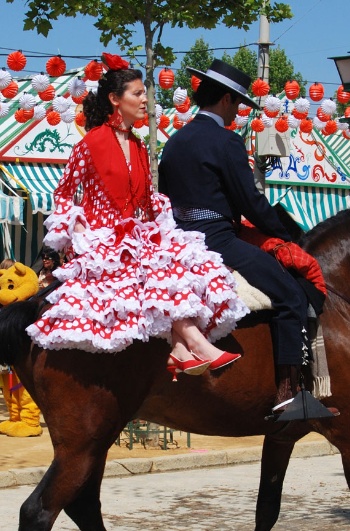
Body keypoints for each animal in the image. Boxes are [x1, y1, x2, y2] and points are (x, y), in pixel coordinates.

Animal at [1, 210, 348, 528]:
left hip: (98, 438)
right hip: (83, 442)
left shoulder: (281, 437)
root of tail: (38, 303)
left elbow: (267, 509)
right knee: (39, 509)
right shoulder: (344, 431)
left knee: (83, 504)